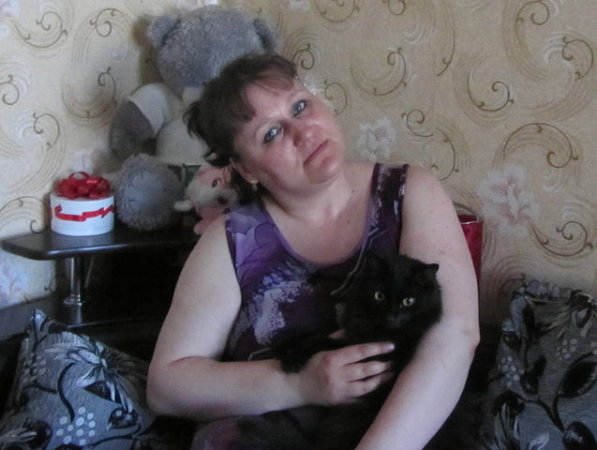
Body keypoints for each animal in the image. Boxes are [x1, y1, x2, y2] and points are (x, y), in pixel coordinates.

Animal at [237, 252, 472, 450]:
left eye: (409, 301)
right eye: (379, 296)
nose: (392, 317)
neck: (375, 329)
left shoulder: (367, 351)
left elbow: (321, 340)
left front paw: (294, 358)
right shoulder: (347, 331)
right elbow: (314, 332)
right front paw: (282, 347)